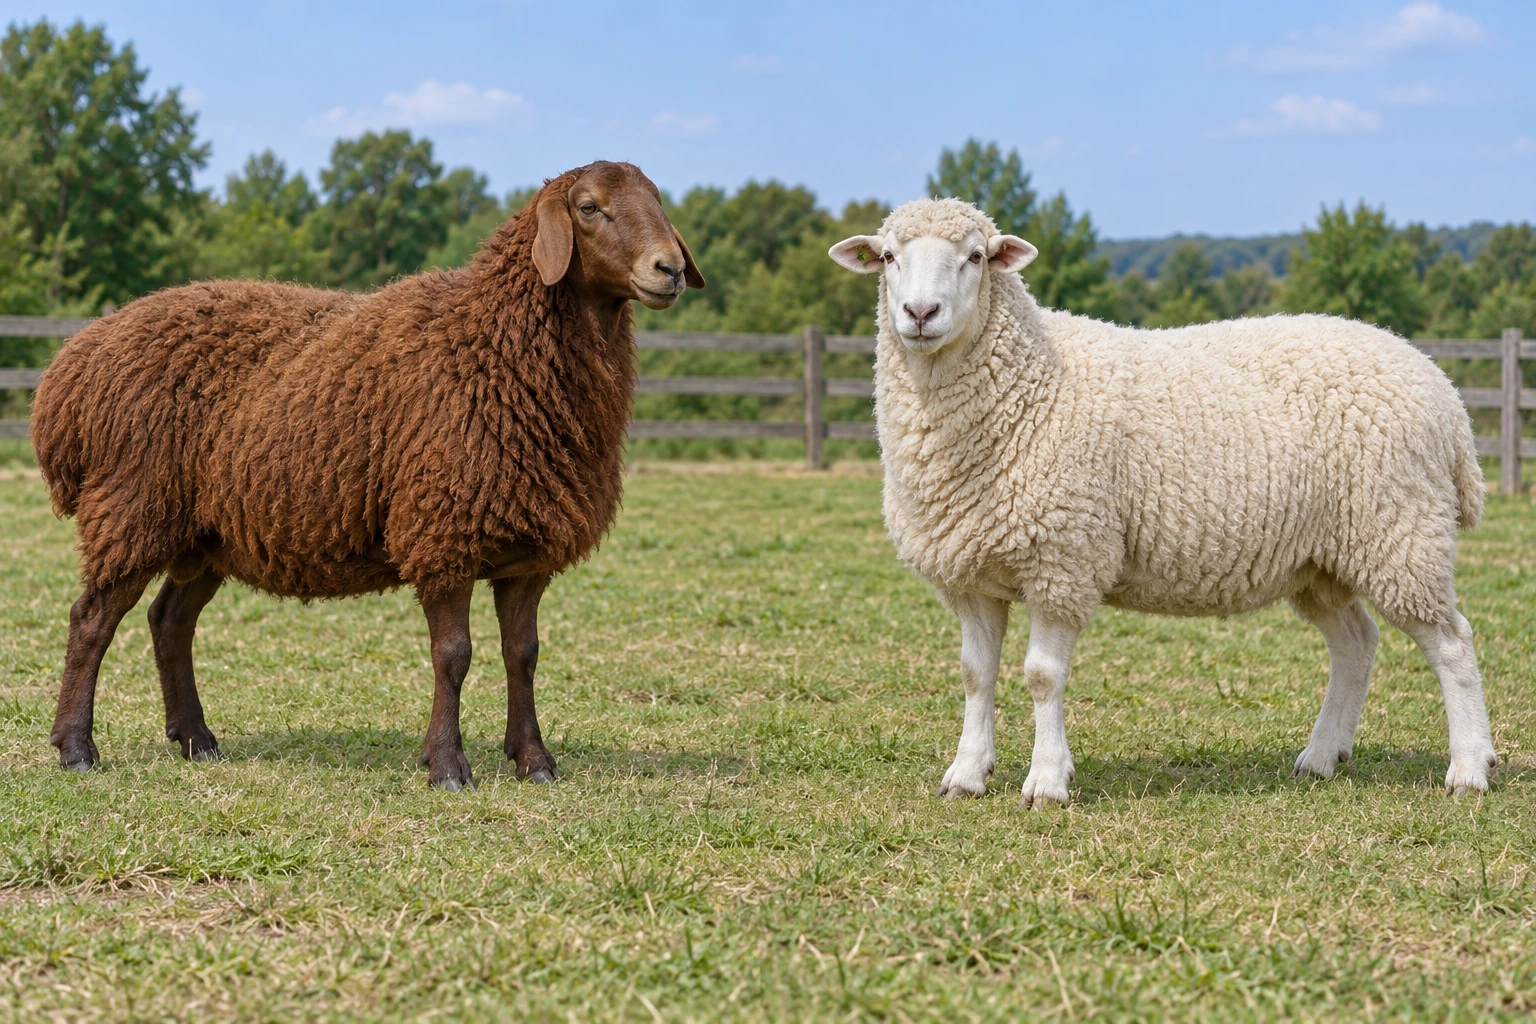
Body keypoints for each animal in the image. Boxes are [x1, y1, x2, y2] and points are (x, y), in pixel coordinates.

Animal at [32, 160, 704, 791]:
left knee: (169, 621)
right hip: (132, 506)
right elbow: (453, 656)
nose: (670, 269)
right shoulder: (442, 534)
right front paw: (448, 767)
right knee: (91, 620)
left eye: (658, 200)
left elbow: (524, 655)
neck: (493, 344)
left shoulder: (528, 551)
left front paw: (533, 761)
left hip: (207, 532)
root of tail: (72, 369)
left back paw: (196, 740)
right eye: (590, 207)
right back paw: (76, 749)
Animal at [829, 198, 1495, 807]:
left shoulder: (1064, 561)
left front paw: (1047, 782)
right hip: (1321, 560)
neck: (1029, 384)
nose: (920, 313)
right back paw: (1322, 756)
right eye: (887, 257)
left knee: (1452, 643)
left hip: (1401, 532)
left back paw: (1469, 768)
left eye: (975, 257)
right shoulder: (970, 573)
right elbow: (975, 674)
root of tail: (1442, 389)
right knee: (1356, 644)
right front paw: (967, 774)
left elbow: (1042, 676)